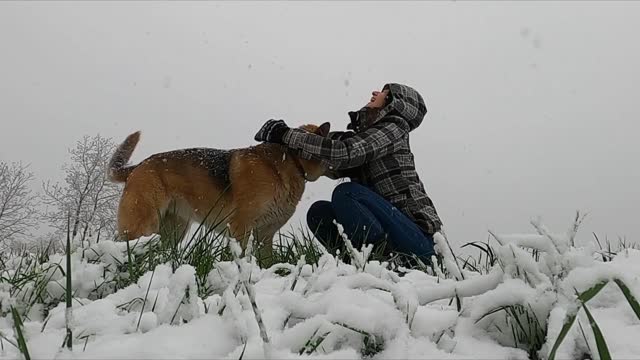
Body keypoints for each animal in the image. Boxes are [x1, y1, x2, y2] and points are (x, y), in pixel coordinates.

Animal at [107, 123, 330, 256]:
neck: (290, 160)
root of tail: (137, 167)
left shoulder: (265, 235)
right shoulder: (240, 227)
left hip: (173, 232)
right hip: (143, 226)